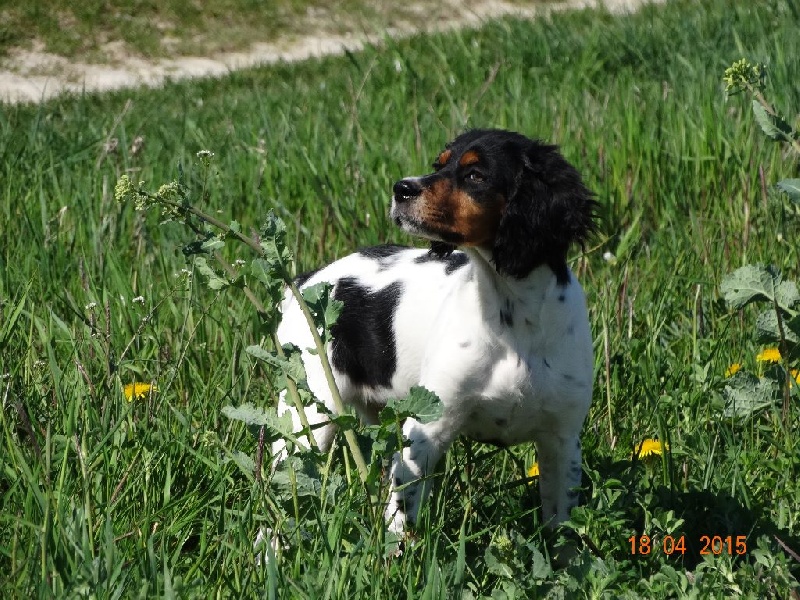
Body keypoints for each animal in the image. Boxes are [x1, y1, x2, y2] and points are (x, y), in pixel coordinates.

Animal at [272, 128, 597, 539]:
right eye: (438, 165)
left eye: (475, 175)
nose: (401, 189)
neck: (512, 318)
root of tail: (304, 280)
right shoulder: (427, 430)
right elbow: (402, 519)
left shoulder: (562, 440)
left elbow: (561, 530)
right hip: (307, 414)